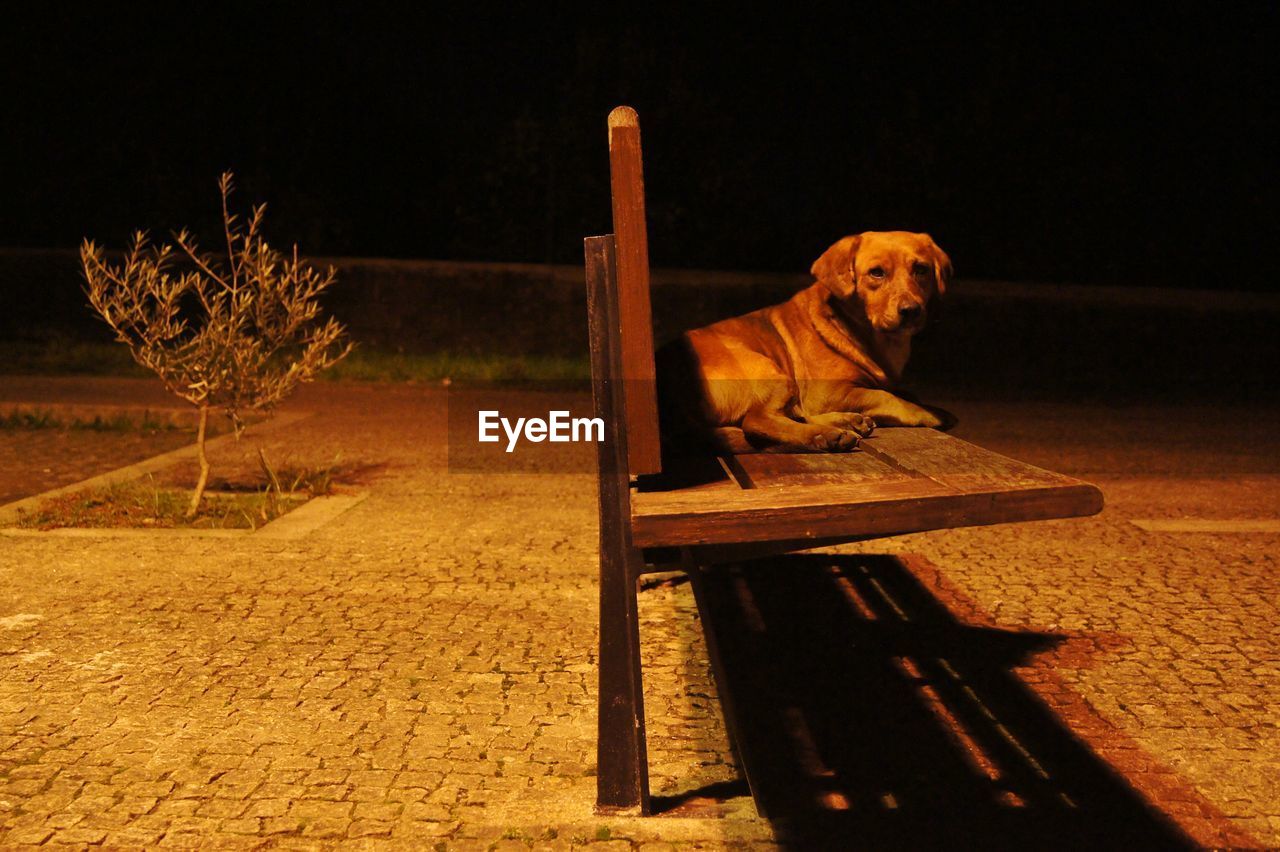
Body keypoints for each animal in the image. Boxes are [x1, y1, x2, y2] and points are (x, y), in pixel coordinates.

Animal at [660, 225, 952, 450]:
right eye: (876, 272)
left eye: (921, 269)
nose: (911, 310)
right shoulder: (827, 393)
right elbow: (885, 396)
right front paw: (926, 412)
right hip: (769, 372)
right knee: (757, 420)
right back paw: (825, 435)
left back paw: (846, 422)